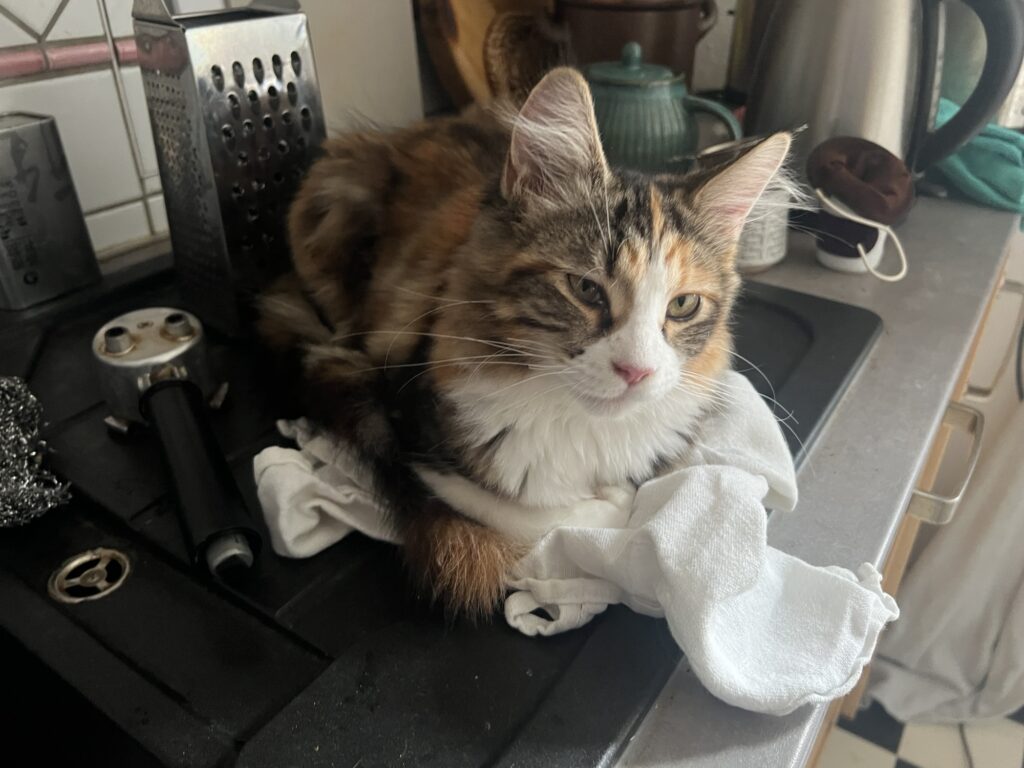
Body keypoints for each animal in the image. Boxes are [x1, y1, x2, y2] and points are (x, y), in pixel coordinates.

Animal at [259, 67, 792, 617]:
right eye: (585, 289)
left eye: (683, 305)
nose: (636, 372)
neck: (583, 427)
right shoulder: (408, 431)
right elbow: (567, 519)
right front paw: (610, 506)